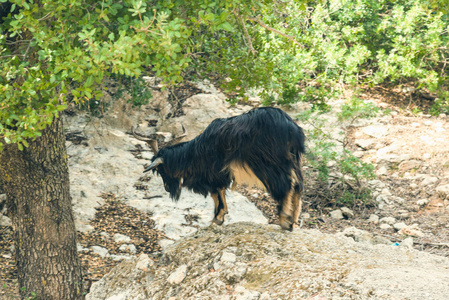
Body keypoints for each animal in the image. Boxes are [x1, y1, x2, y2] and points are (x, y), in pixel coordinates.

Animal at [134, 107, 304, 230]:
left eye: (161, 170)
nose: (167, 188)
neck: (196, 152)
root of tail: (292, 129)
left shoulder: (214, 172)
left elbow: (217, 193)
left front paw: (217, 219)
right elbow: (218, 194)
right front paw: (220, 218)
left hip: (268, 163)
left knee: (287, 185)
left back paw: (284, 220)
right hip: (293, 160)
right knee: (298, 186)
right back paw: (293, 223)